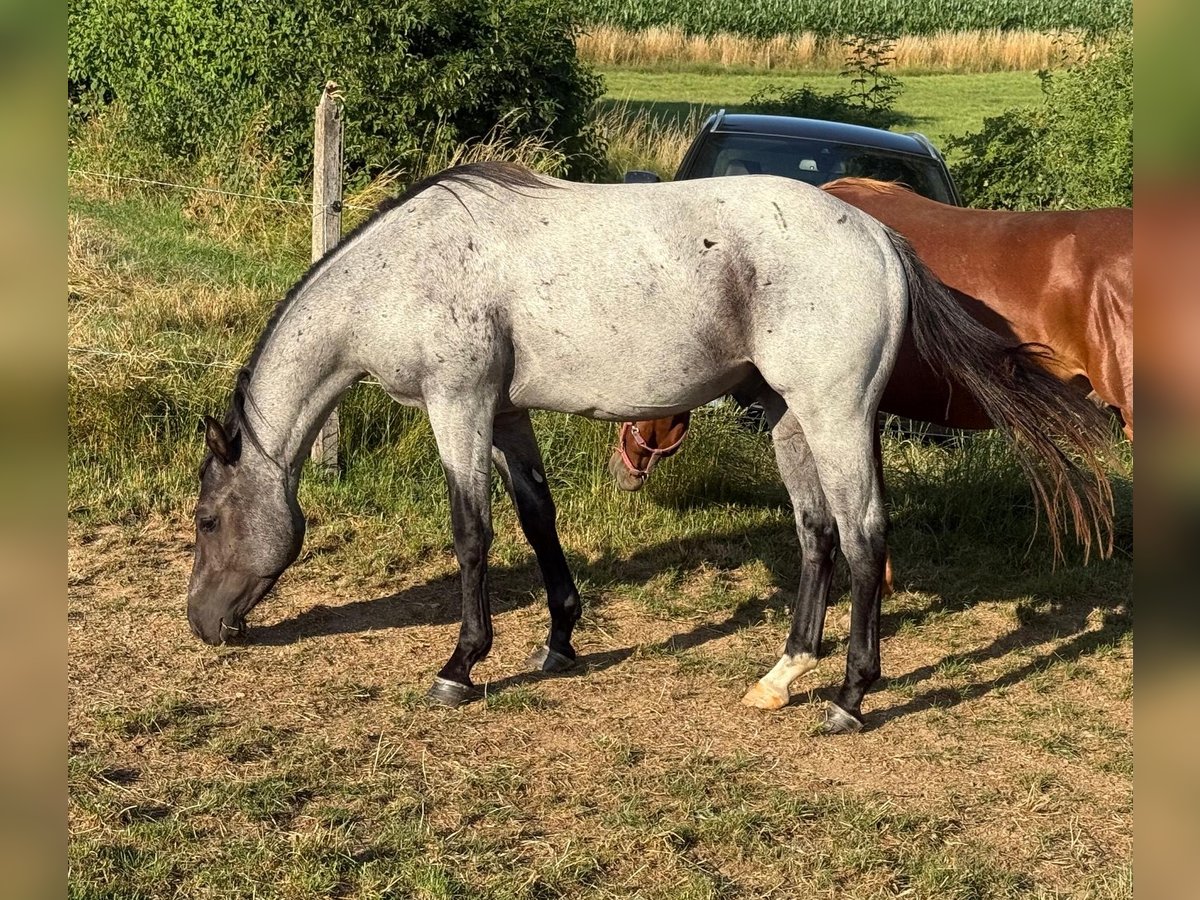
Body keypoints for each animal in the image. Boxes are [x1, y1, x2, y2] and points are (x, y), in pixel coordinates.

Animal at [187, 163, 1114, 734]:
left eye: (204, 521)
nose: (201, 625)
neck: (407, 268)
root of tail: (882, 240)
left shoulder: (459, 407)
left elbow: (472, 534)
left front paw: (461, 664)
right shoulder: (506, 414)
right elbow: (537, 517)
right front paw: (560, 640)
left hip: (837, 415)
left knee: (863, 538)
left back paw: (850, 696)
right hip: (790, 420)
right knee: (816, 535)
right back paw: (781, 677)